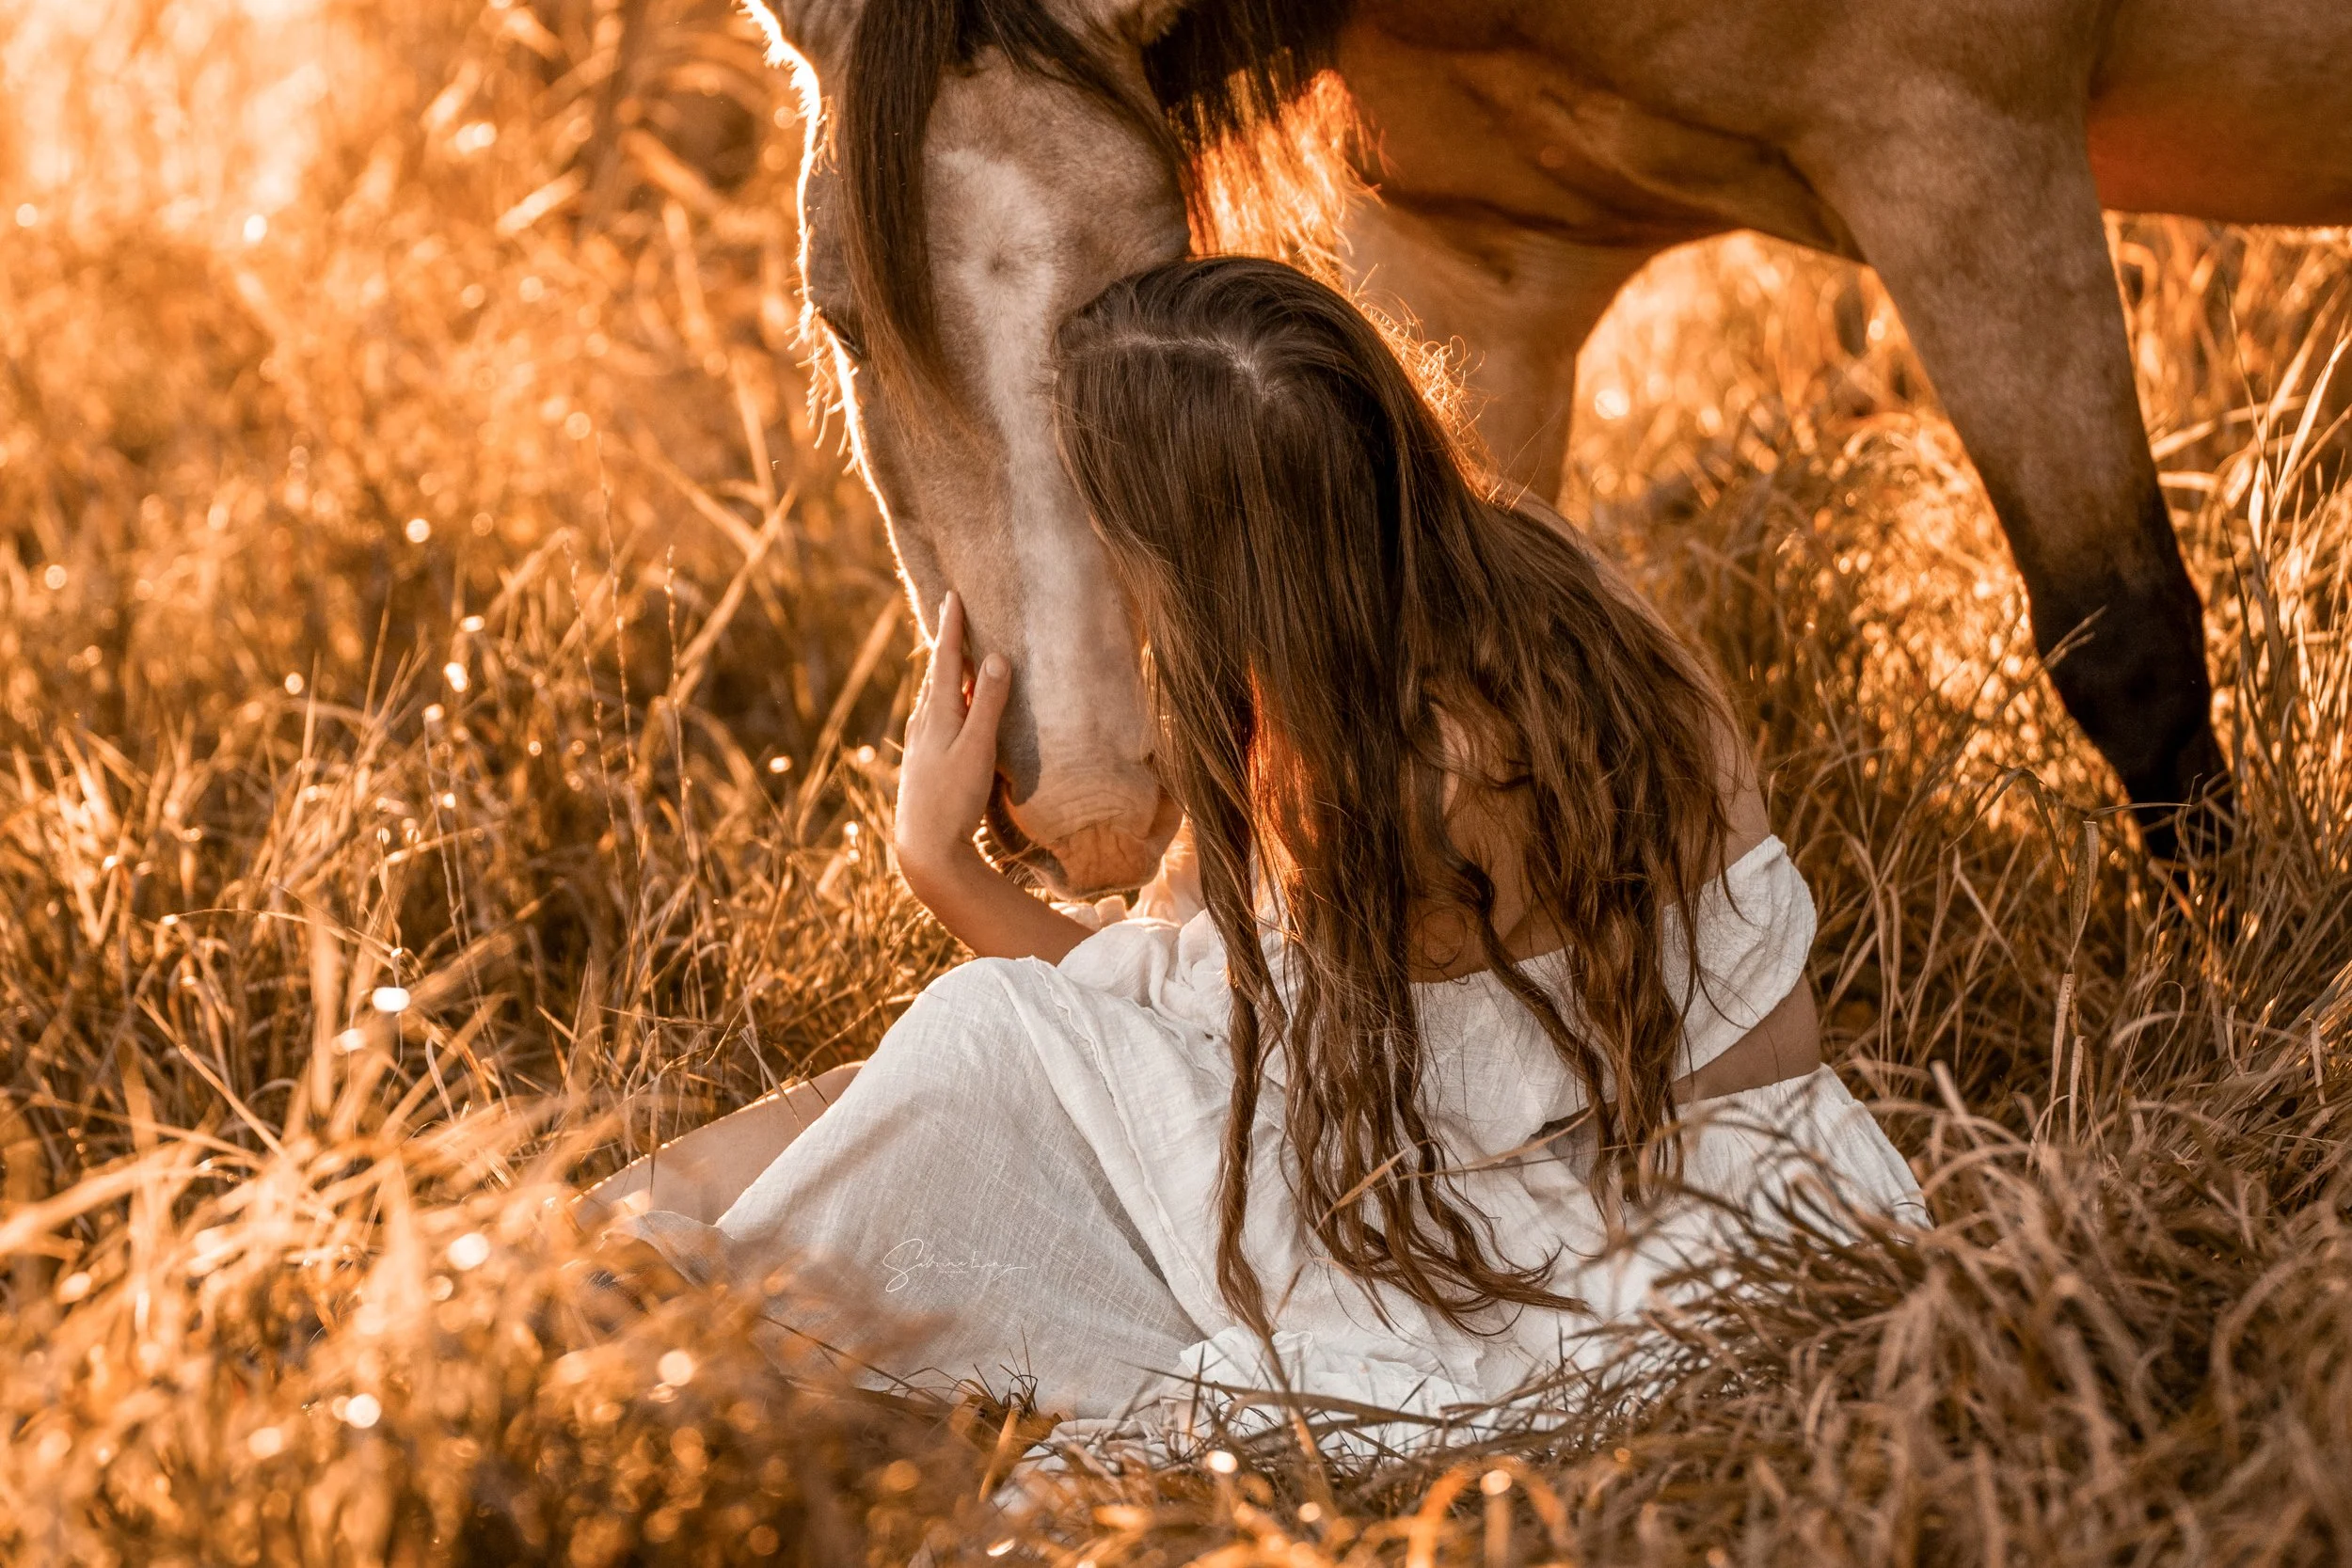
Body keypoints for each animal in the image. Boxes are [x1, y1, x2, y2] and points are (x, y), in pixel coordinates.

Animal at [747, 0, 2352, 895]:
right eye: (841, 320)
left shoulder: (1964, 159)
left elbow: (2129, 648)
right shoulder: (1479, 273)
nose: (1087, 812)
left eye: (1150, 271)